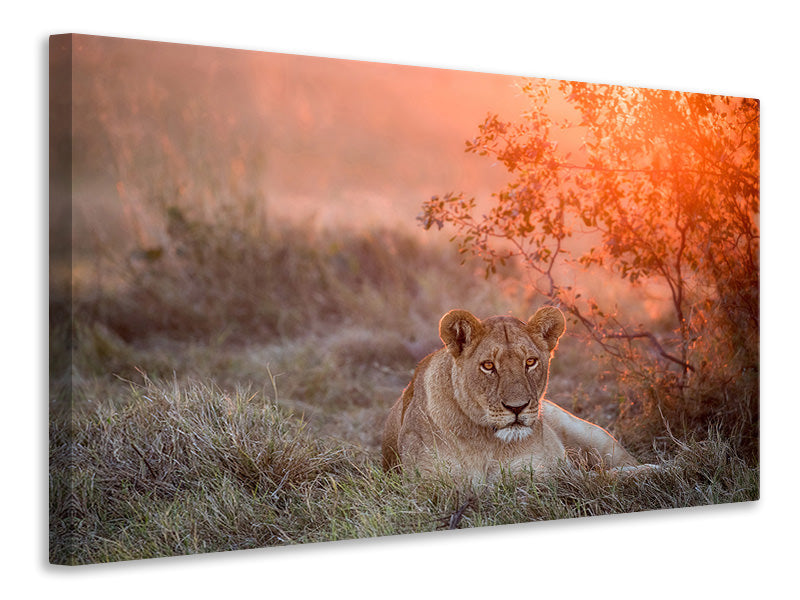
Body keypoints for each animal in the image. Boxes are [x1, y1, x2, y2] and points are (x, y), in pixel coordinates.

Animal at [382, 307, 642, 481]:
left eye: (530, 362)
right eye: (488, 366)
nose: (517, 408)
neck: (486, 442)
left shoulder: (541, 472)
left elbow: (600, 478)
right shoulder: (429, 485)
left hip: (591, 434)